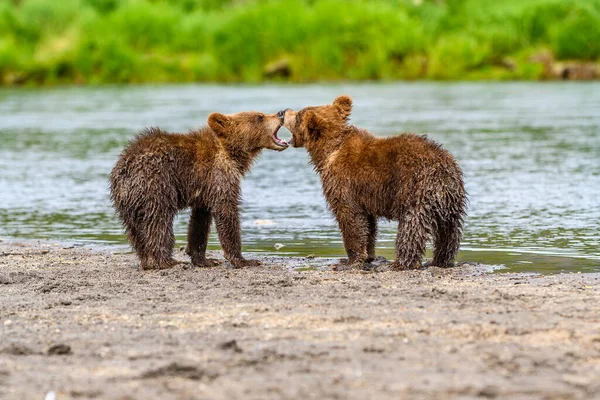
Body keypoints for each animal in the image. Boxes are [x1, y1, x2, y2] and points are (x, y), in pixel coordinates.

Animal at [109, 111, 288, 270]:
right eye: (260, 116)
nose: (281, 113)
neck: (231, 153)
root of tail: (124, 170)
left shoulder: (204, 187)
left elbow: (200, 221)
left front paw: (205, 259)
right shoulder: (219, 173)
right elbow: (226, 210)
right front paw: (243, 260)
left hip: (129, 202)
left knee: (136, 230)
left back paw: (147, 260)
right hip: (155, 185)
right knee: (158, 222)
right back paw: (166, 261)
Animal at [282, 96, 468, 270]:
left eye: (298, 116)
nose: (283, 111)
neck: (329, 152)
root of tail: (444, 171)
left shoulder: (344, 183)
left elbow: (350, 218)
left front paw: (350, 260)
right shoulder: (363, 194)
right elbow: (368, 225)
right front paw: (369, 255)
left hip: (416, 191)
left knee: (412, 228)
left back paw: (400, 263)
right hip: (451, 203)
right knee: (448, 233)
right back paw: (440, 260)